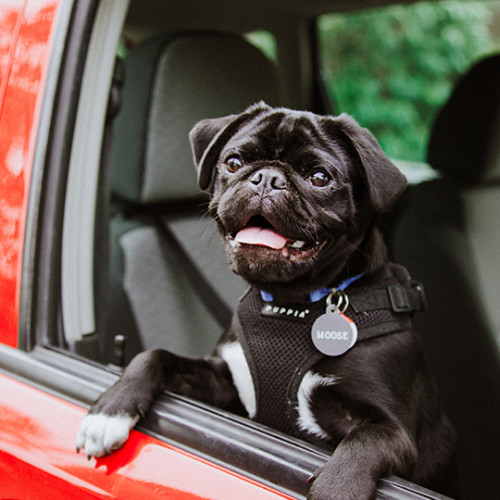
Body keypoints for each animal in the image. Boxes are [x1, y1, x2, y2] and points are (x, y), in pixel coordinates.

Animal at [76, 102, 456, 500]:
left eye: (320, 177)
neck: (292, 304)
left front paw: (336, 488)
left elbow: (364, 442)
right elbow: (153, 357)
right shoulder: (224, 383)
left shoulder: (394, 430)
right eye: (233, 162)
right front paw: (110, 410)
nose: (267, 178)